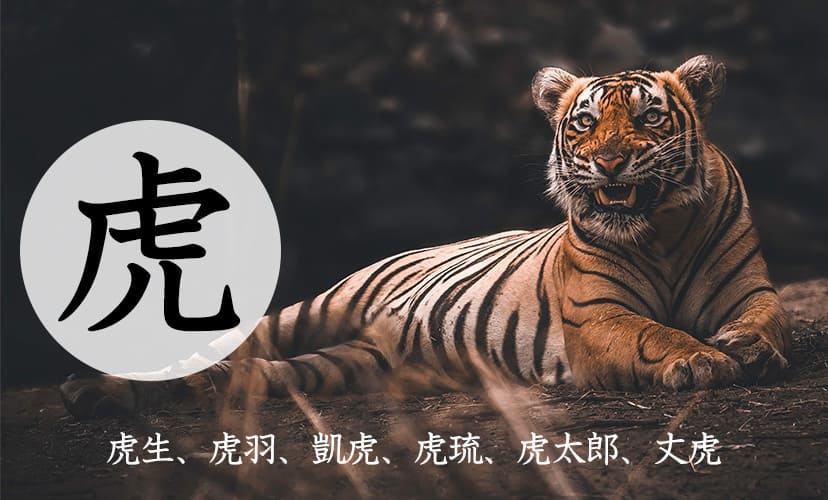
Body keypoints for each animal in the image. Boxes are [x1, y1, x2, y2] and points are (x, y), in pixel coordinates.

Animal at [60, 55, 791, 419]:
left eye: (649, 118)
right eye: (585, 123)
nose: (609, 163)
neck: (661, 231)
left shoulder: (749, 288)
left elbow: (768, 318)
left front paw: (747, 348)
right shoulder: (597, 317)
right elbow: (651, 333)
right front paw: (700, 360)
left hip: (347, 364)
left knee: (248, 374)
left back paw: (174, 396)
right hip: (316, 308)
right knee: (220, 348)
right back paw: (92, 392)